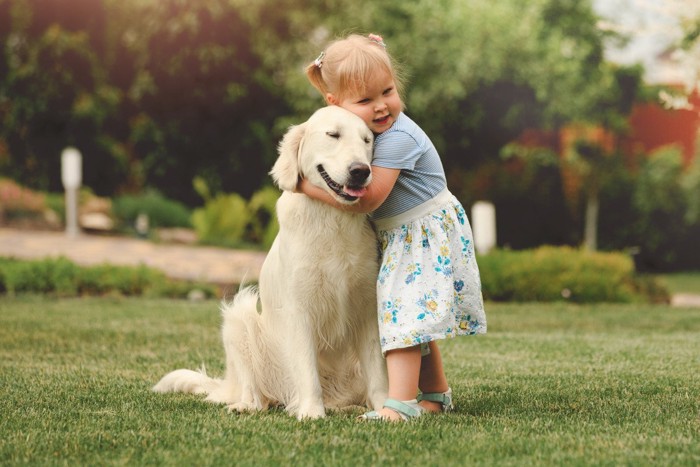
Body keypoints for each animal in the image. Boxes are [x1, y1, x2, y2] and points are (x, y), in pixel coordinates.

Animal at [152, 106, 388, 420]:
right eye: (333, 134)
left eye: (366, 141)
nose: (361, 171)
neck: (333, 218)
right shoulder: (299, 309)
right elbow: (307, 371)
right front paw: (311, 412)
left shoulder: (367, 307)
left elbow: (377, 371)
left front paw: (386, 408)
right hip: (239, 319)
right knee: (257, 393)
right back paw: (245, 404)